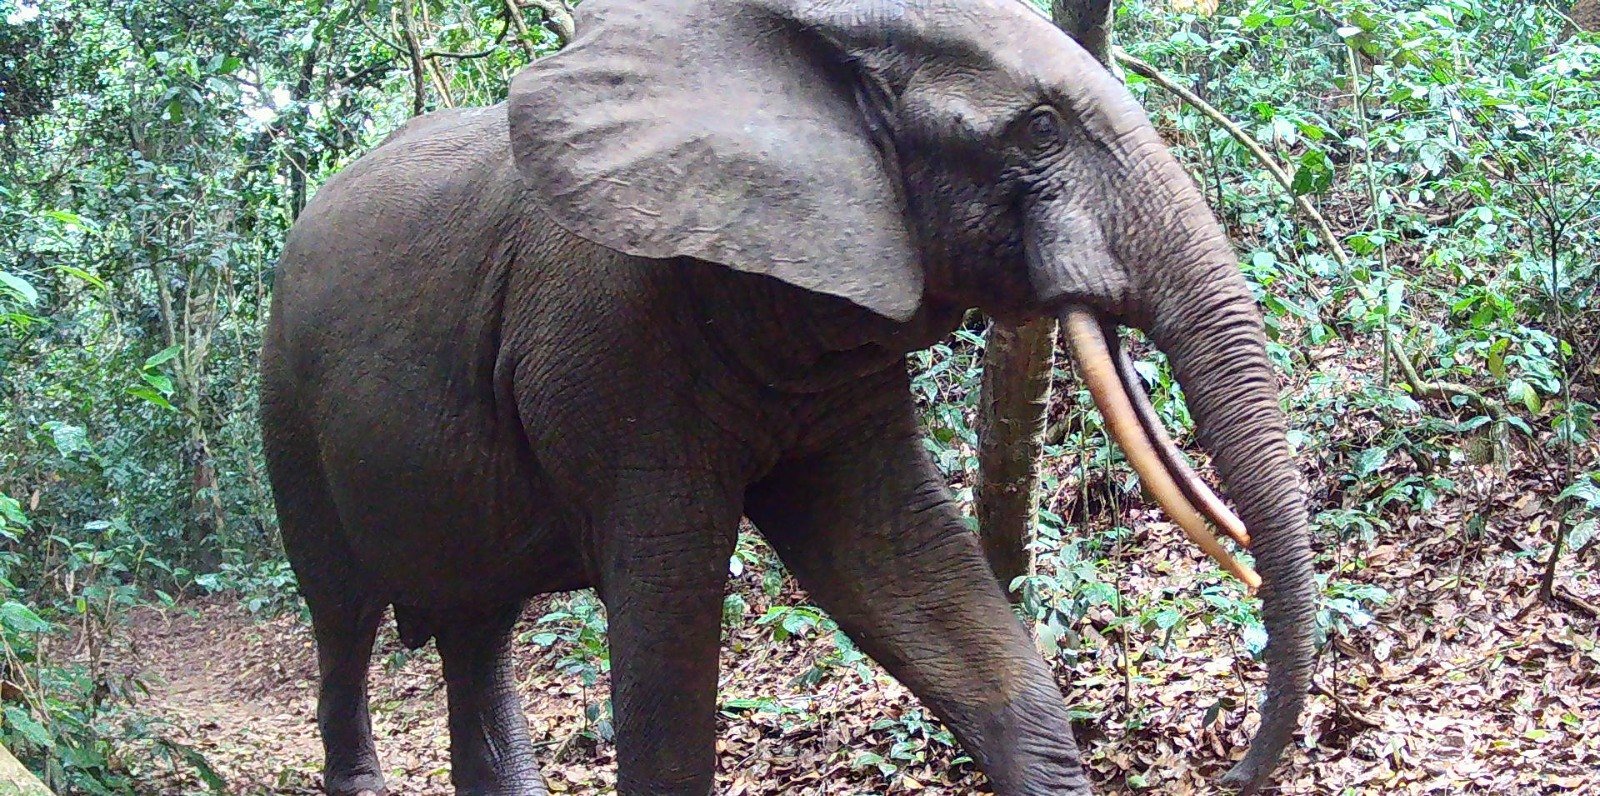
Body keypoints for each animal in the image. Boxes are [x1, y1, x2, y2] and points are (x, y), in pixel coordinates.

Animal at [258, 0, 1314, 793]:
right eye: (1041, 130)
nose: (1235, 772)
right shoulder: (614, 345)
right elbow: (670, 611)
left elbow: (900, 565)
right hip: (287, 410)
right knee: (344, 613)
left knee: (478, 628)